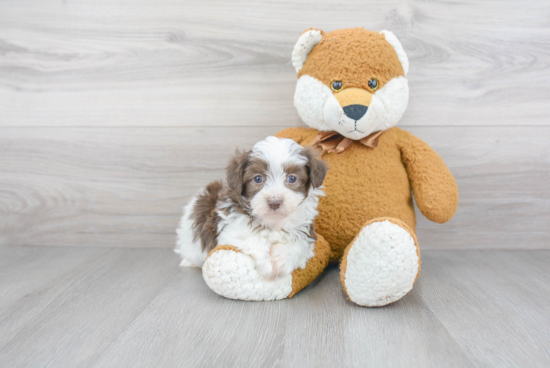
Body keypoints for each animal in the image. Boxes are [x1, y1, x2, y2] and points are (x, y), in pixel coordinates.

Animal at [176, 137, 328, 280]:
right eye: (258, 179)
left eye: (292, 178)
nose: (274, 202)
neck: (273, 220)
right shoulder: (231, 225)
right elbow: (250, 235)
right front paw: (267, 265)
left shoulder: (306, 228)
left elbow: (300, 242)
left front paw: (283, 260)